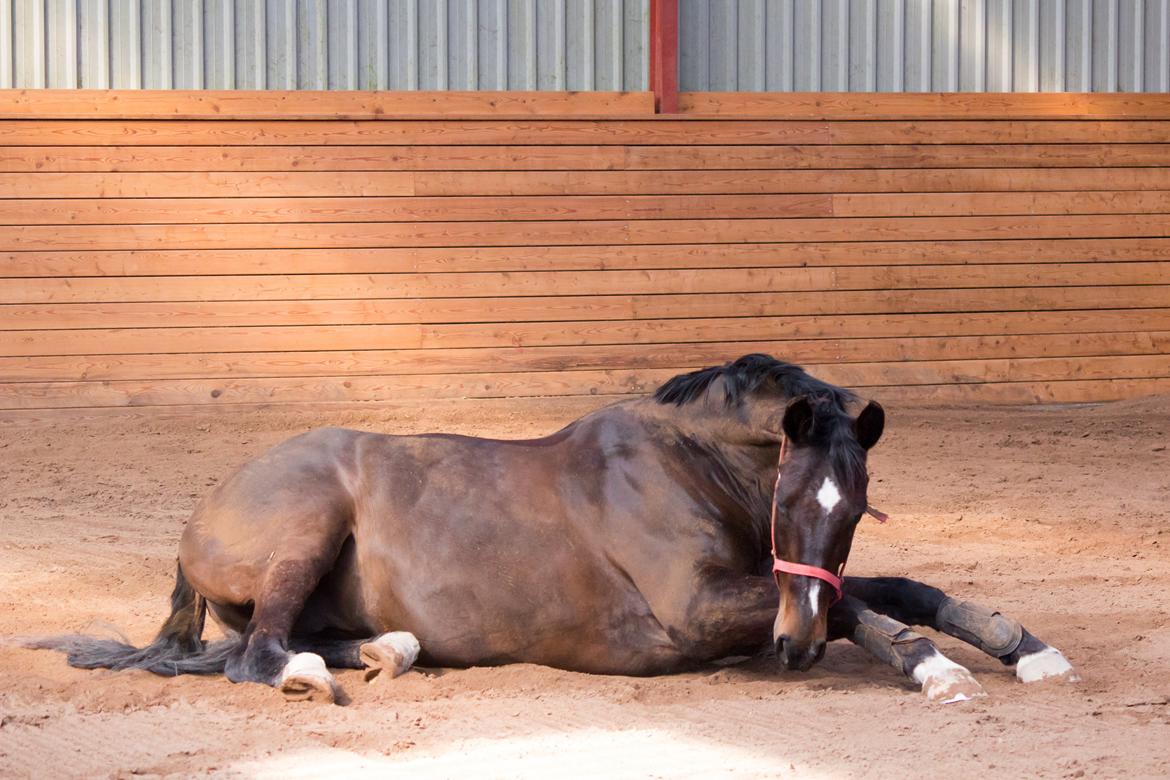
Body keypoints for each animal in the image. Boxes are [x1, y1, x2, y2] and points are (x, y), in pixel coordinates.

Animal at [29, 357, 1076, 706]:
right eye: (789, 501)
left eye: (853, 510)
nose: (796, 650)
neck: (681, 468)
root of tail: (202, 509)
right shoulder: (701, 611)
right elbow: (865, 605)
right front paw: (934, 670)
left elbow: (887, 586)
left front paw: (1022, 647)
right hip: (306, 526)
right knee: (256, 657)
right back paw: (317, 676)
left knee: (254, 646)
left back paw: (387, 651)